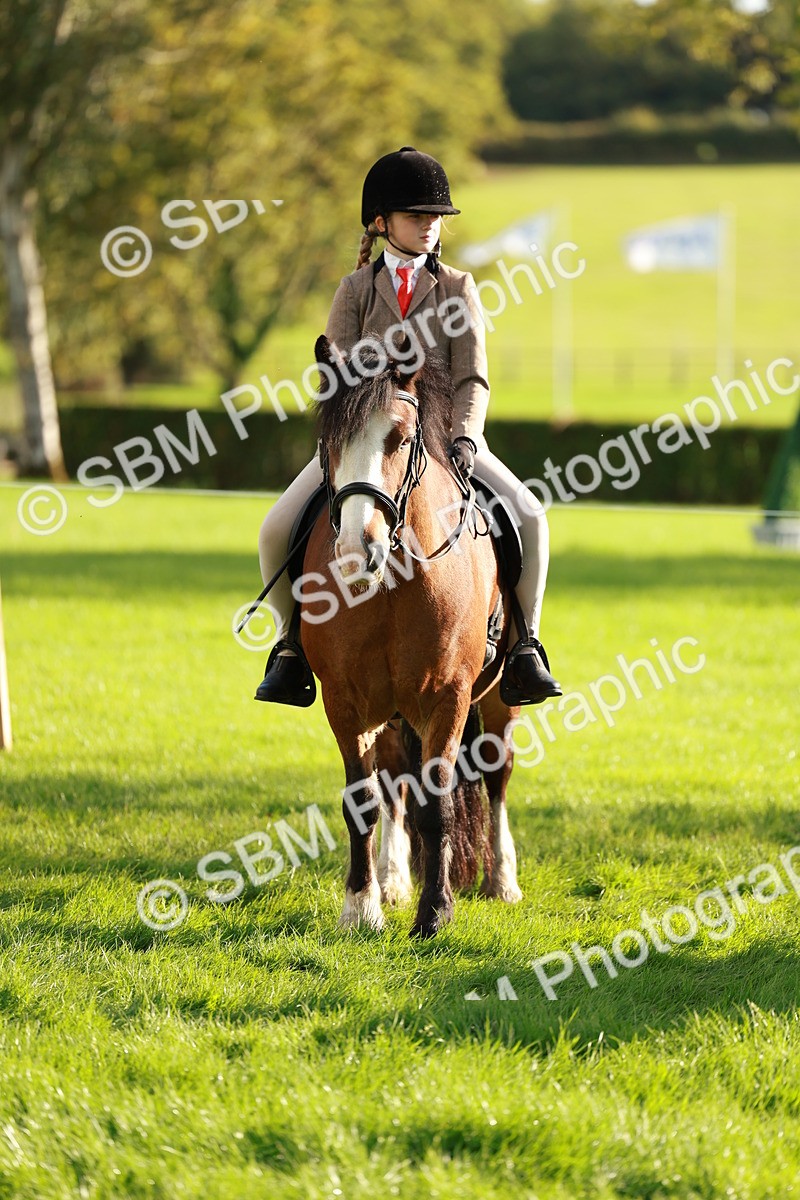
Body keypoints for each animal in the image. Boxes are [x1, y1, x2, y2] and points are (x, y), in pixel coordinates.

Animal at [301, 334, 524, 937]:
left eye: (400, 438)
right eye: (328, 441)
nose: (357, 550)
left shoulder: (448, 697)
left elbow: (439, 805)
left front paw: (435, 913)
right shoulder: (345, 701)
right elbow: (362, 801)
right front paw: (362, 908)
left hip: (496, 700)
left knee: (496, 775)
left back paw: (502, 880)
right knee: (395, 780)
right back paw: (394, 878)